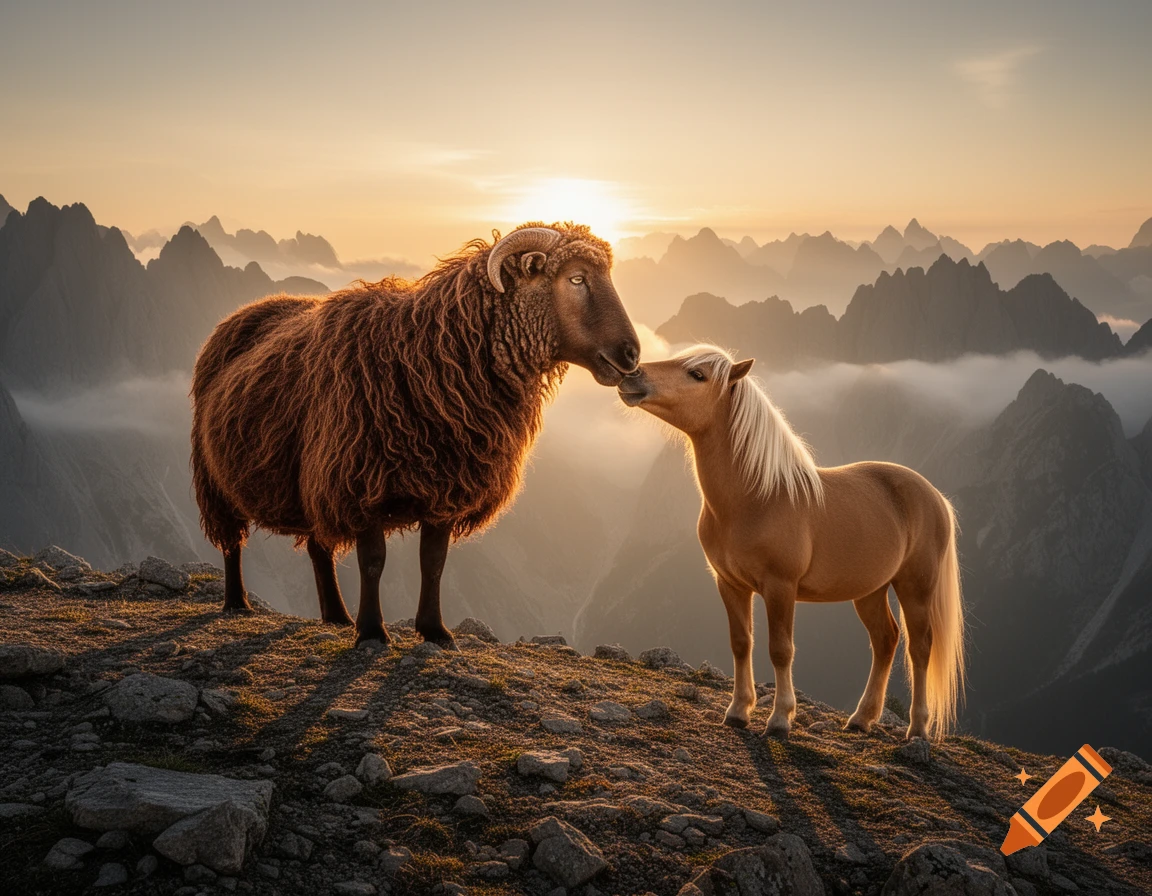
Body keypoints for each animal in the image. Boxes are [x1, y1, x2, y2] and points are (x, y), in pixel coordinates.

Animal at [190, 223, 639, 645]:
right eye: (576, 278)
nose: (632, 353)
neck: (429, 357)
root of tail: (245, 312)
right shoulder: (360, 485)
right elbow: (373, 561)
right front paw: (373, 631)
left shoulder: (445, 488)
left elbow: (434, 563)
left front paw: (435, 630)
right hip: (218, 479)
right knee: (232, 542)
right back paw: (238, 602)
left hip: (312, 483)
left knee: (319, 548)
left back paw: (336, 615)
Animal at [617, 344, 965, 740]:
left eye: (697, 375)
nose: (630, 376)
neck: (758, 496)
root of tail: (934, 496)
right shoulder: (730, 584)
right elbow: (741, 643)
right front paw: (737, 711)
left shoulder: (780, 587)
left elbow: (780, 649)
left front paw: (780, 719)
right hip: (870, 591)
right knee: (885, 640)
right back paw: (861, 719)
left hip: (915, 588)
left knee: (920, 648)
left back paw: (918, 729)